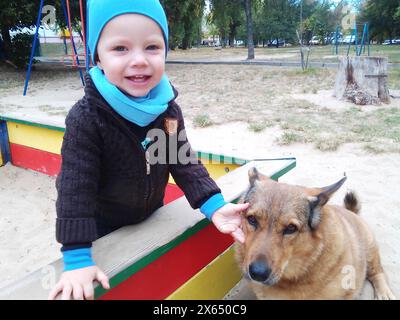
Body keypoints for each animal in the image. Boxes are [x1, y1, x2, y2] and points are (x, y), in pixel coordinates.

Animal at [236, 168, 396, 300]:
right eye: (252, 219)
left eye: (291, 228)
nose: (257, 273)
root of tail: (351, 212)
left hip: (370, 251)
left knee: (377, 272)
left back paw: (384, 292)